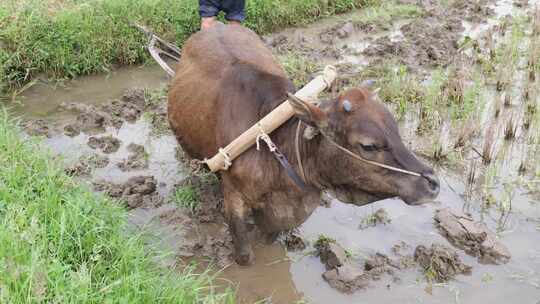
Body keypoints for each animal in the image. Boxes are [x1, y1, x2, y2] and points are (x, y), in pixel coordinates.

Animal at [168, 23, 438, 266]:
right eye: (369, 146)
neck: (275, 150)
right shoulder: (235, 199)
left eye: (396, 129)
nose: (433, 183)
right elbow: (245, 255)